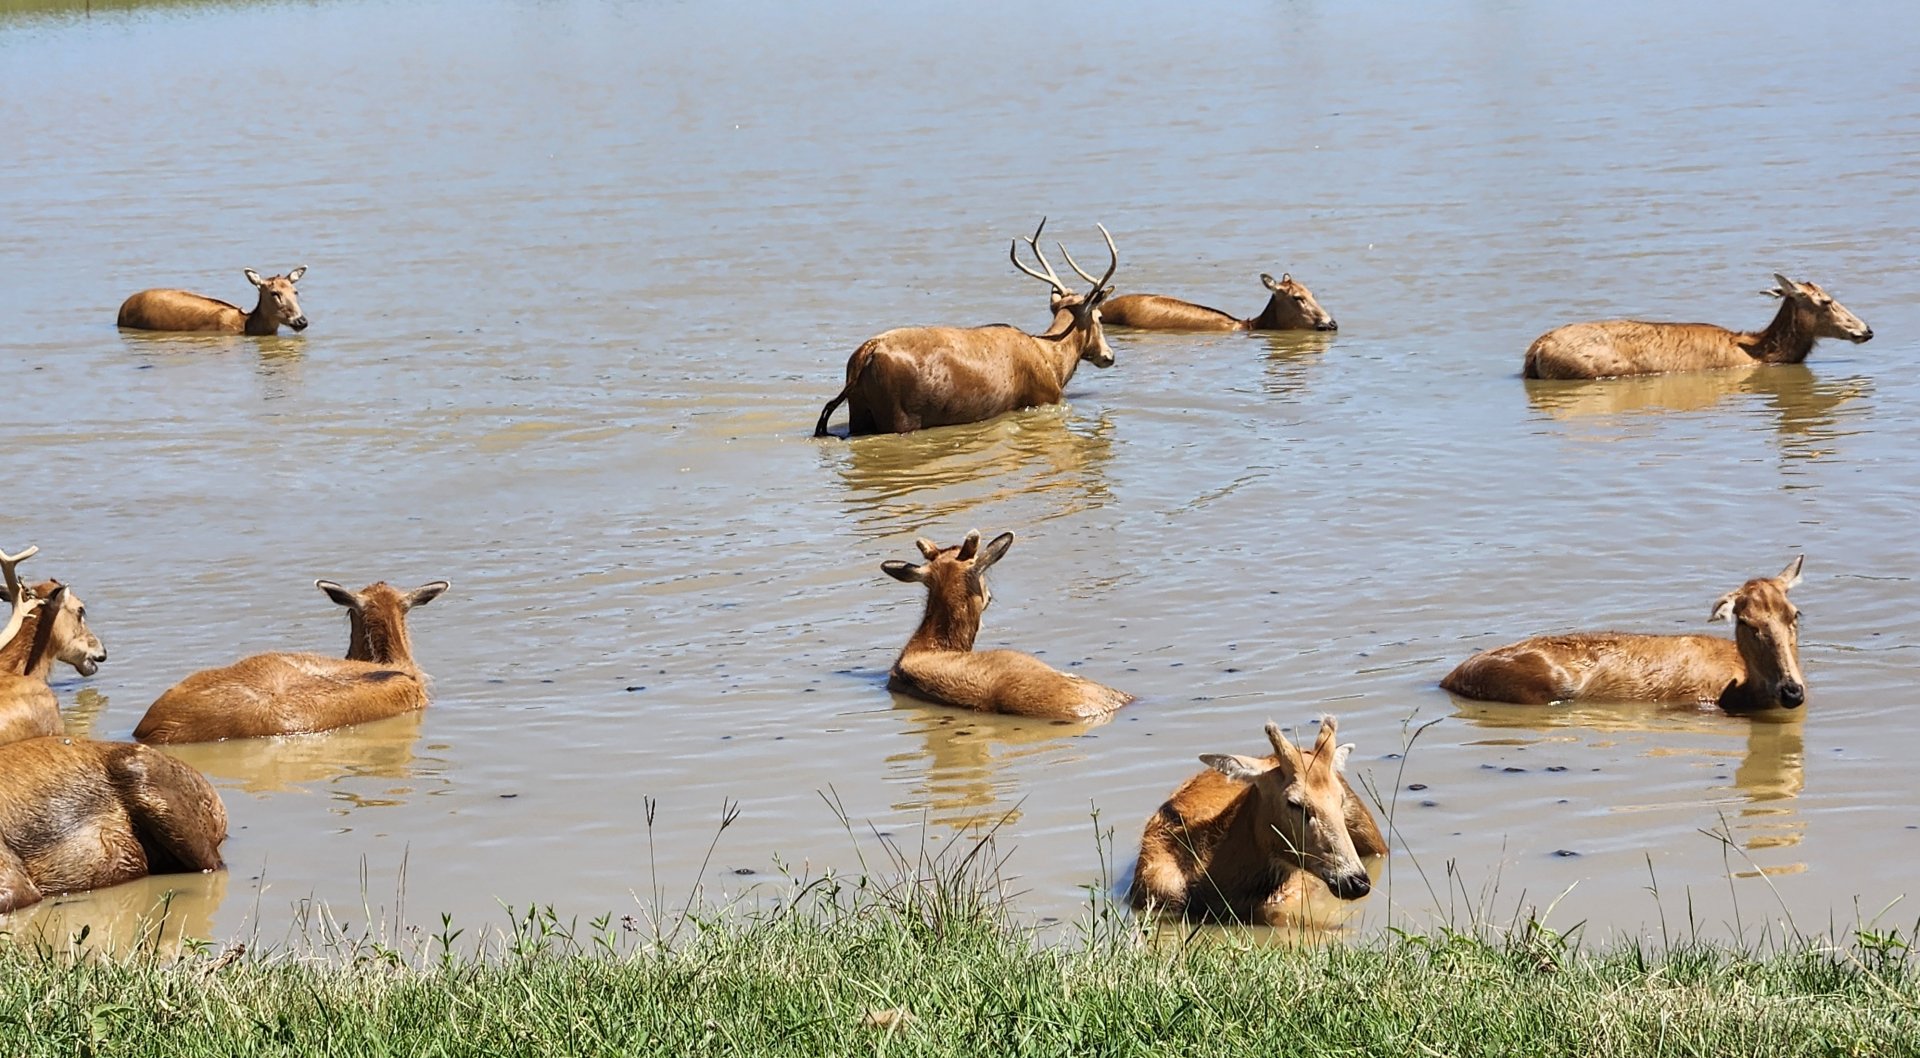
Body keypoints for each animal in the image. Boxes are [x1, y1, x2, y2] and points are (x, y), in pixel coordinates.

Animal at [814, 221, 1119, 437]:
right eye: (1099, 316)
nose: (1109, 355)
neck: (1053, 359)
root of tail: (866, 353)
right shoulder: (1045, 398)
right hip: (898, 417)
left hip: (859, 413)